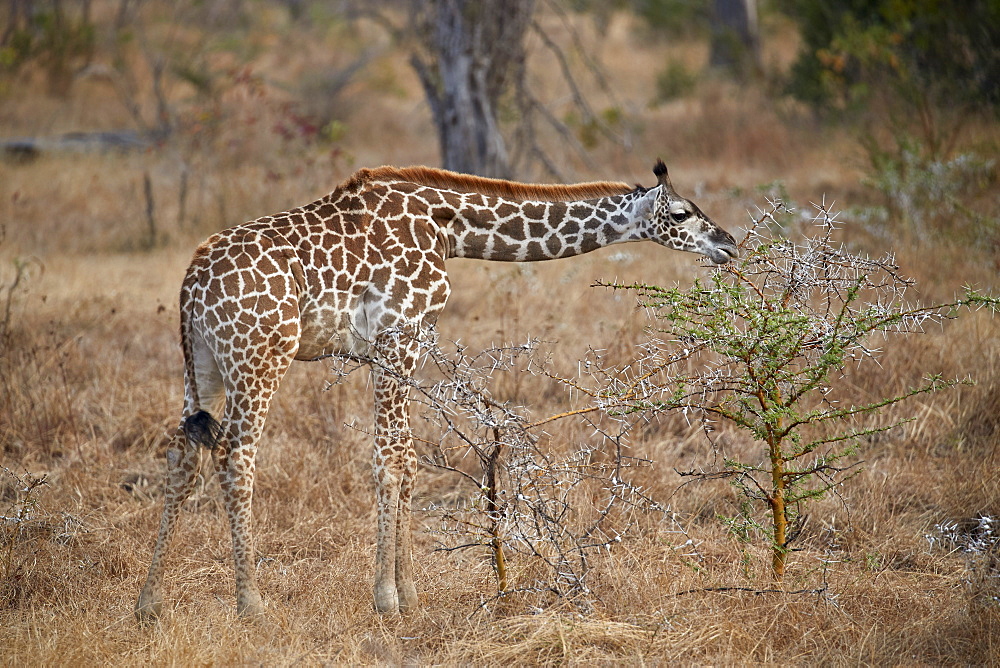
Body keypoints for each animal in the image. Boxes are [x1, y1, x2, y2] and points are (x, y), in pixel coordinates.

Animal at [135, 160, 736, 620]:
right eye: (681, 214)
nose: (729, 243)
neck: (449, 227)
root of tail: (191, 279)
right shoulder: (397, 337)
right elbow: (389, 459)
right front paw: (386, 598)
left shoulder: (405, 344)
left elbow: (407, 457)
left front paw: (411, 592)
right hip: (260, 357)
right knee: (236, 454)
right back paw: (251, 604)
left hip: (204, 363)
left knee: (182, 455)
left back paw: (149, 603)